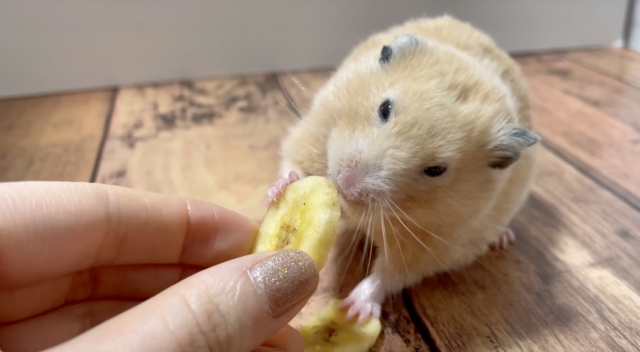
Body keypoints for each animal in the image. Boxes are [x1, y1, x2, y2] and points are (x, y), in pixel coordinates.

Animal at [264, 15, 540, 324]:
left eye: (436, 169)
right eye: (384, 108)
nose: (345, 186)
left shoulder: (433, 244)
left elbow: (390, 273)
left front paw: (353, 312)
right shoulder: (312, 133)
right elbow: (295, 165)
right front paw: (279, 191)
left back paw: (503, 238)